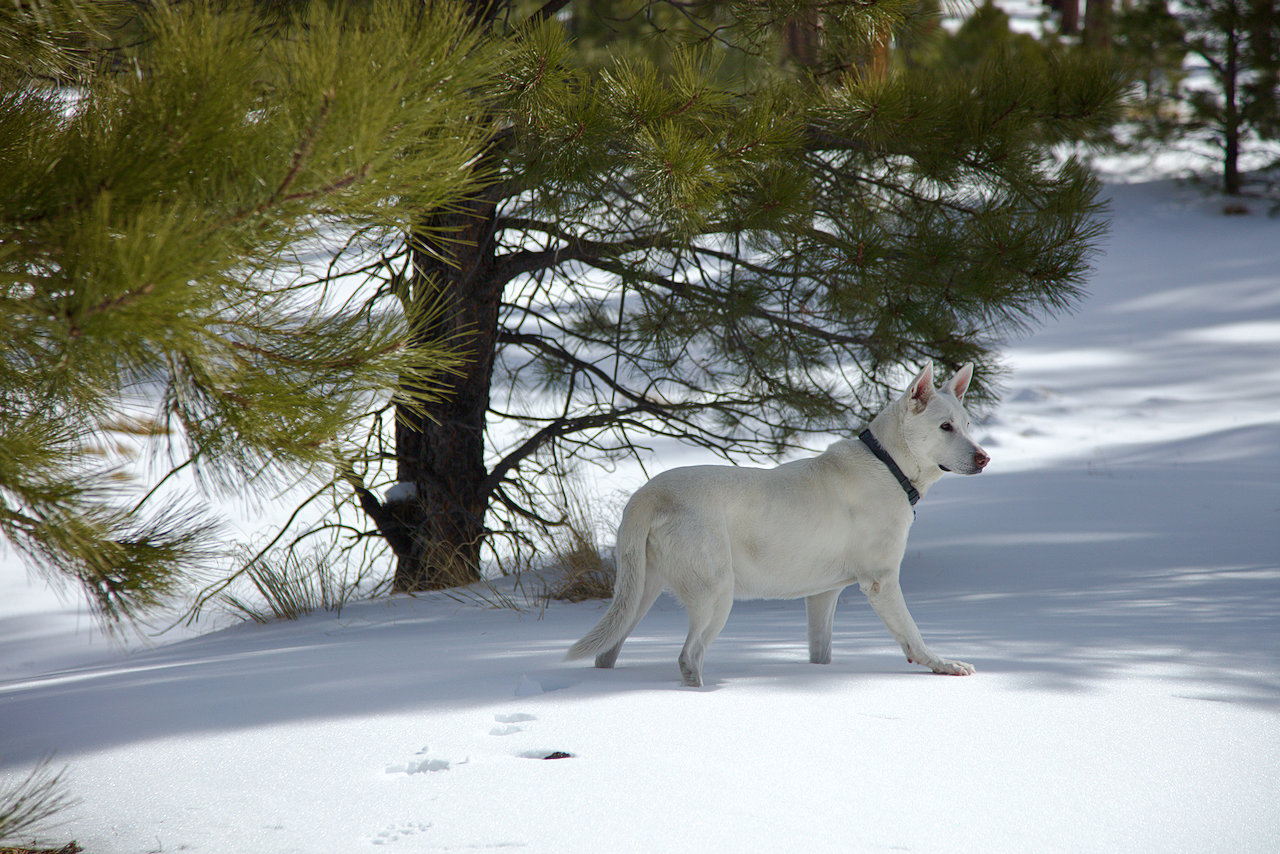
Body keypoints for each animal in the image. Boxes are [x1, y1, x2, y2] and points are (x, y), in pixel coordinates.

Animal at [568, 361, 988, 686]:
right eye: (945, 427)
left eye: (968, 424)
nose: (984, 458)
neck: (889, 463)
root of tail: (647, 495)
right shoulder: (881, 582)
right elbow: (913, 635)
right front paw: (942, 664)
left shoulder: (822, 596)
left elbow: (822, 651)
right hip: (715, 593)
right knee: (689, 656)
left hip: (640, 592)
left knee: (608, 651)